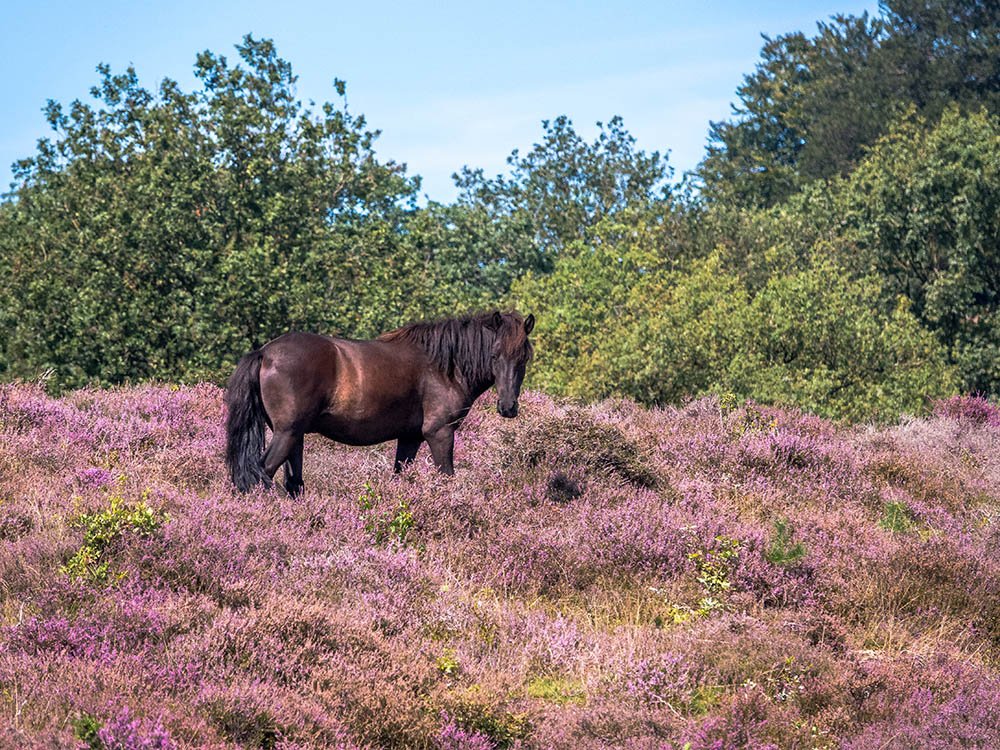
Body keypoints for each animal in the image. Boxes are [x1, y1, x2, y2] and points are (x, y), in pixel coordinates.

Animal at [224, 310, 535, 495]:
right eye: (494, 355)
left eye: (523, 358)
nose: (508, 407)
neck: (444, 366)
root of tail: (265, 353)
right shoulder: (440, 433)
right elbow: (446, 476)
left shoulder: (410, 438)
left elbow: (400, 477)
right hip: (286, 434)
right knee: (260, 474)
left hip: (295, 436)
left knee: (292, 482)